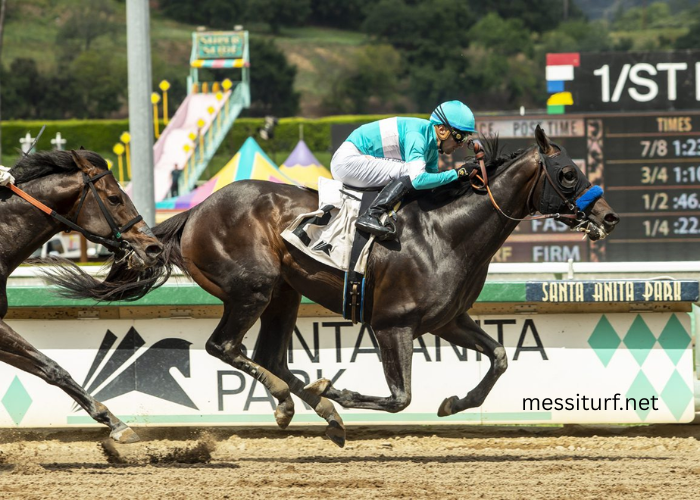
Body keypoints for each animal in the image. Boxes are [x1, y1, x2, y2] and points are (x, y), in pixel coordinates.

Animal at [42, 126, 620, 447]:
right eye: (568, 173)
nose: (609, 217)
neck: (445, 232)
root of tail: (193, 212)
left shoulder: (447, 321)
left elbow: (499, 357)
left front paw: (456, 402)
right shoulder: (392, 326)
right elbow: (400, 397)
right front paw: (337, 388)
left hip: (285, 293)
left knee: (269, 356)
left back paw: (319, 410)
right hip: (253, 288)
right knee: (224, 347)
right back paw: (296, 402)